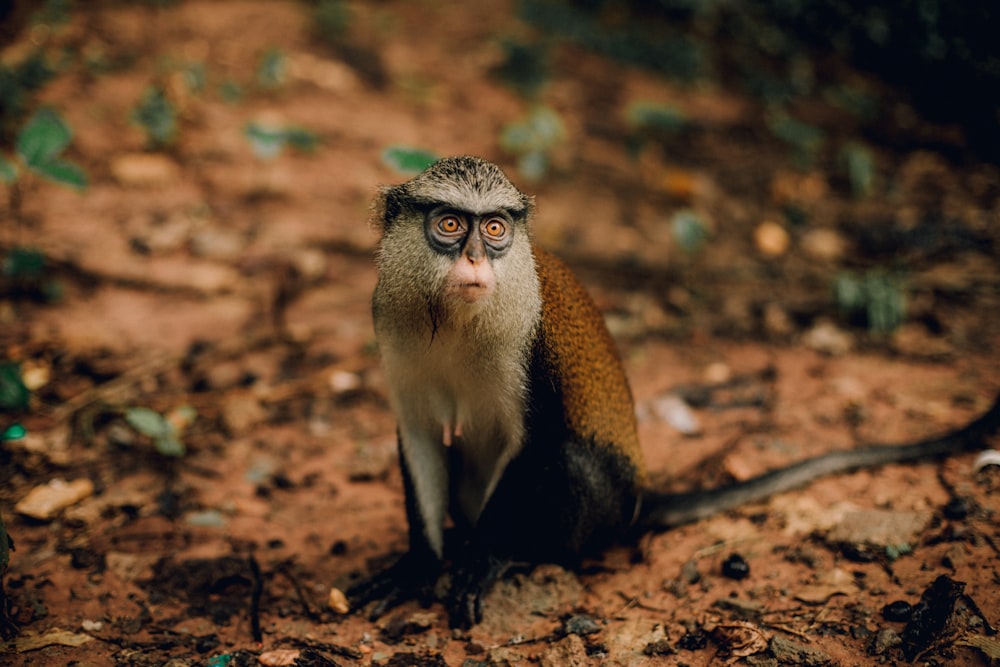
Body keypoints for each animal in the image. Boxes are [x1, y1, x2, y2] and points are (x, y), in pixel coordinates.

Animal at [350, 157, 1000, 632]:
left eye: (494, 228)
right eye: (450, 224)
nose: (476, 259)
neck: (455, 319)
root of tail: (642, 499)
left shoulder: (529, 348)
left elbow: (535, 444)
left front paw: (481, 560)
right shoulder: (390, 326)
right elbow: (419, 437)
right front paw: (418, 568)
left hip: (601, 510)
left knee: (567, 461)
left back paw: (520, 554)